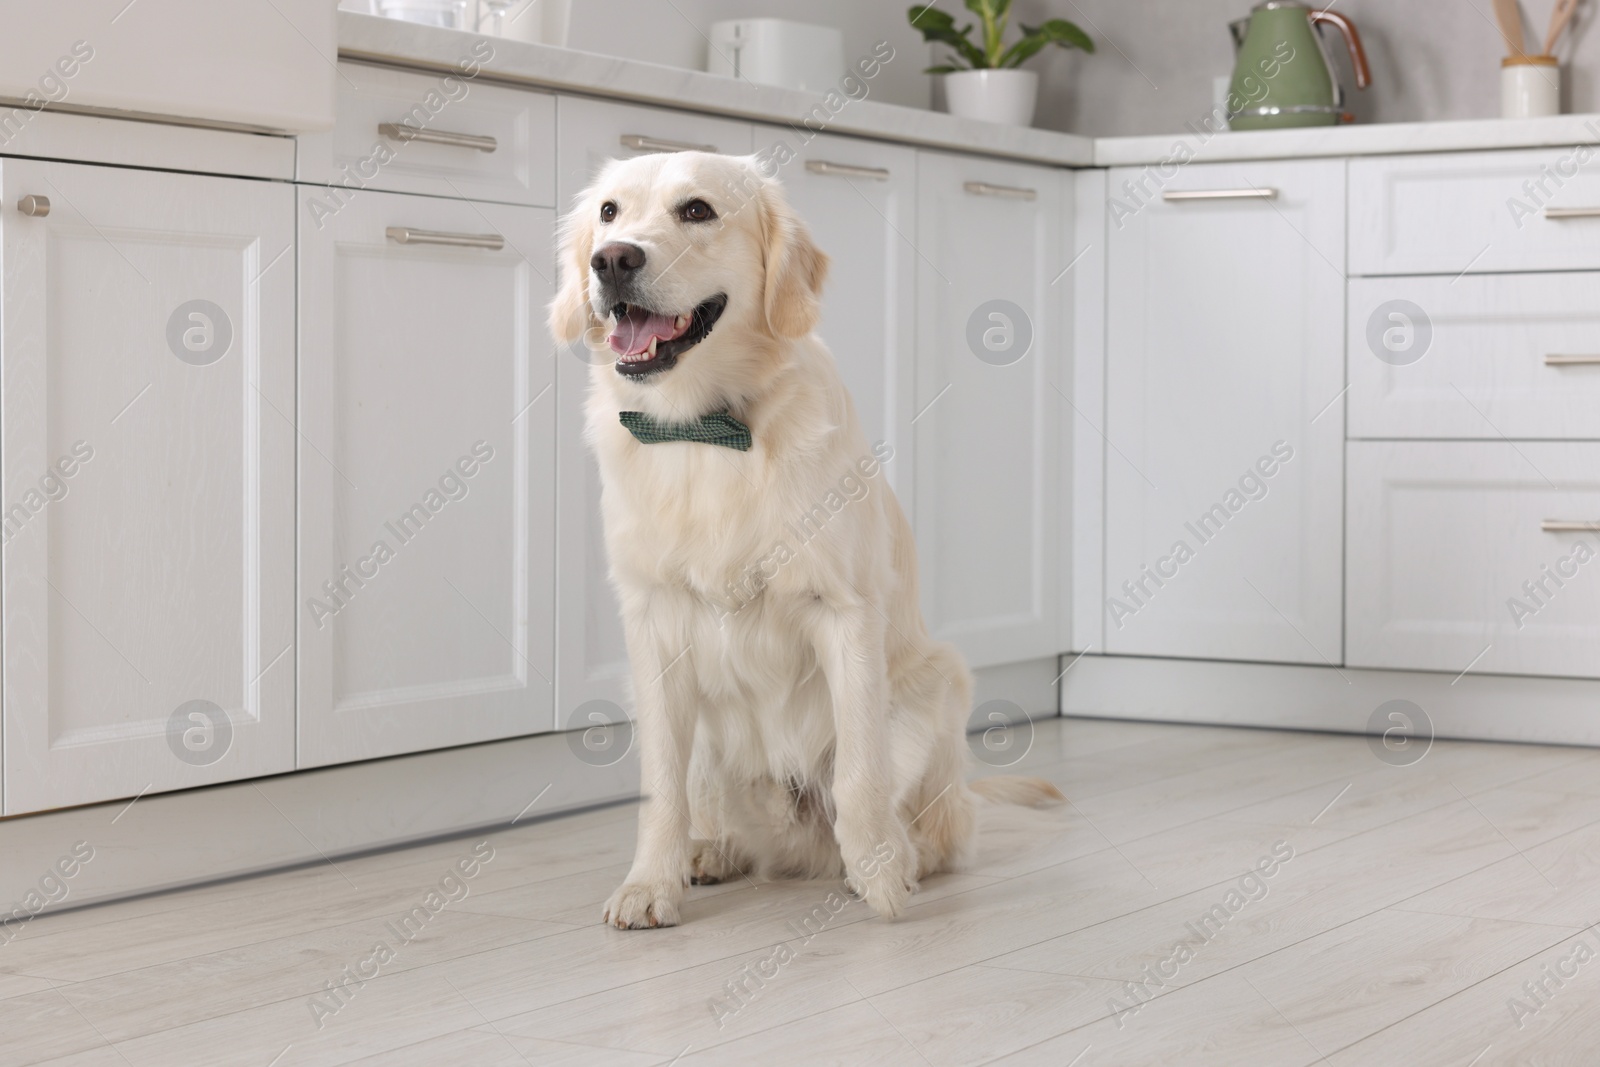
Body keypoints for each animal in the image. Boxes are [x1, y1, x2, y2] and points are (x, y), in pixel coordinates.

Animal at [550, 150, 1062, 927]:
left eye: (696, 210)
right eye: (609, 212)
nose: (611, 260)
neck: (708, 431)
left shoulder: (843, 611)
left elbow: (859, 770)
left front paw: (879, 873)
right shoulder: (654, 624)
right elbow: (662, 786)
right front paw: (650, 884)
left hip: (935, 685)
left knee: (937, 824)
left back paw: (892, 857)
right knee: (711, 800)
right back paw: (712, 848)